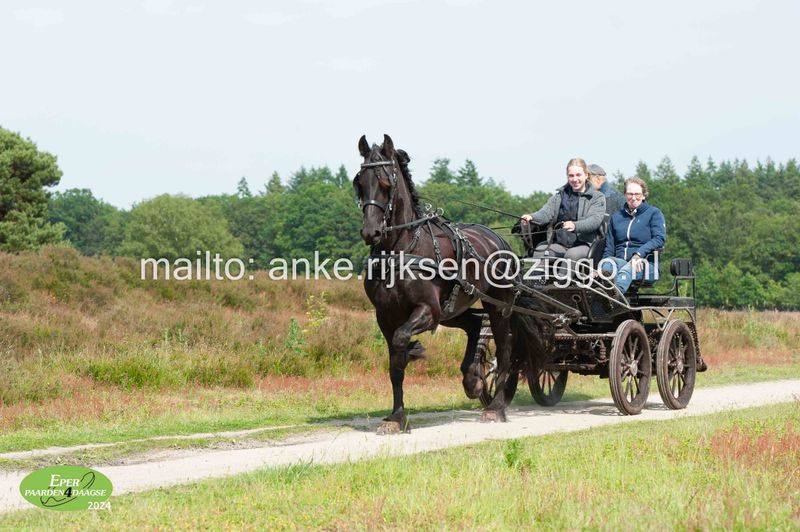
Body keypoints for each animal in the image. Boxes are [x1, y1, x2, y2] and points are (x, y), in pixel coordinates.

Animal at [353, 134, 521, 434]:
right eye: (359, 182)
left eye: (385, 183)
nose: (371, 231)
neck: (402, 250)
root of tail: (499, 239)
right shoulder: (385, 316)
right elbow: (394, 364)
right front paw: (396, 416)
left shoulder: (427, 311)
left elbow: (401, 341)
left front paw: (413, 351)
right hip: (451, 310)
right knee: (475, 324)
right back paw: (472, 379)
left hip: (497, 307)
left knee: (504, 349)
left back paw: (496, 407)